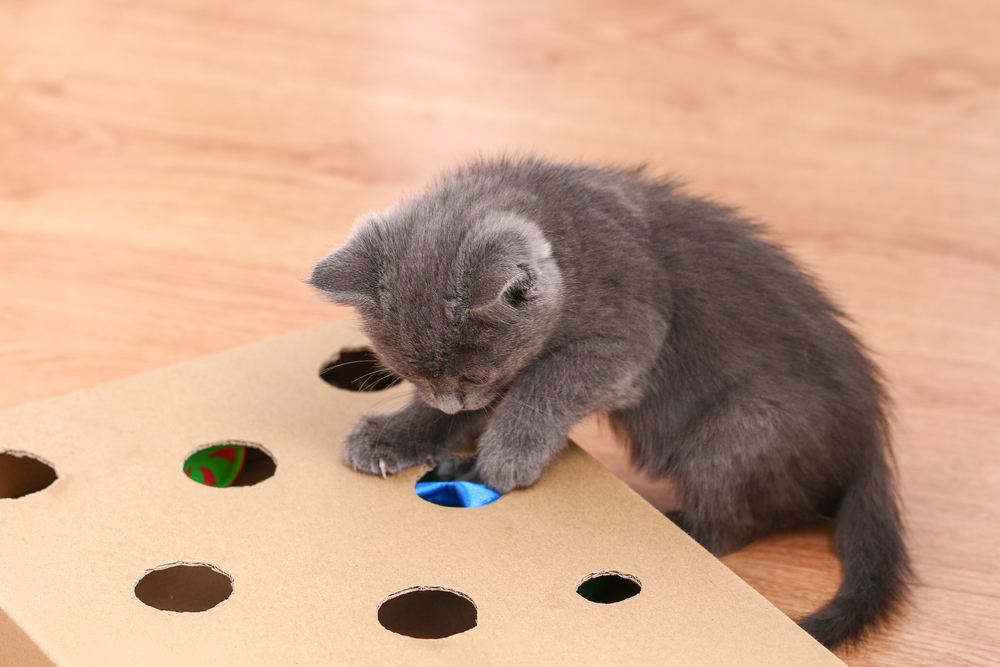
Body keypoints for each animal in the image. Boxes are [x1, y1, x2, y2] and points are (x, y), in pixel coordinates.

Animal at [308, 155, 912, 648]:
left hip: (745, 421)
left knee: (735, 518)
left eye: (472, 372)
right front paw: (395, 437)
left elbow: (545, 385)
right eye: (411, 375)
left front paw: (506, 458)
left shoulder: (625, 336)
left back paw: (678, 525)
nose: (452, 403)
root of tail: (870, 442)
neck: (569, 238)